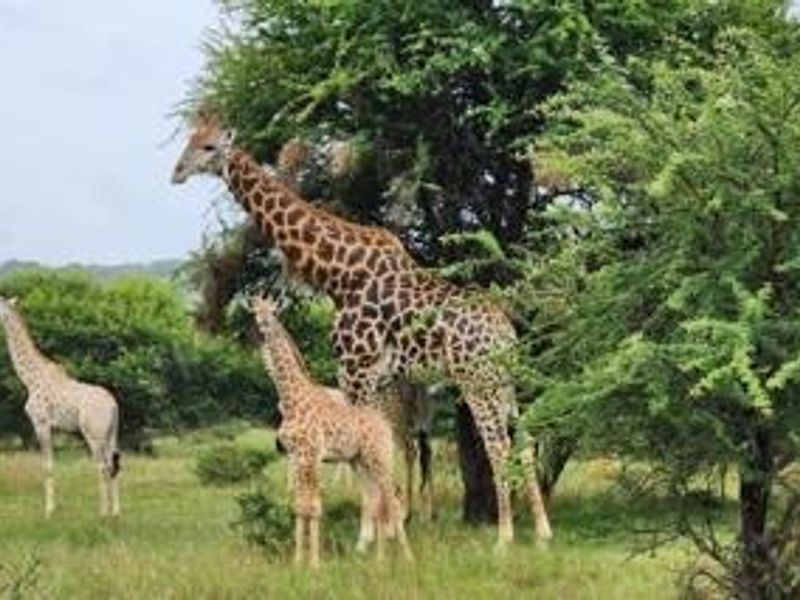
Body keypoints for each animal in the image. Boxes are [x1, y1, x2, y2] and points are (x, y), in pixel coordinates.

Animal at [0, 297, 120, 518]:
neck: (30, 379)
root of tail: (113, 405)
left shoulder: (41, 424)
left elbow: (47, 466)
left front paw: (48, 511)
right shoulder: (53, 428)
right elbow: (52, 465)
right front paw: (52, 508)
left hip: (94, 434)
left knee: (102, 466)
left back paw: (102, 513)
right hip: (112, 434)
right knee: (112, 465)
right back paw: (116, 512)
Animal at [249, 295, 412, 567]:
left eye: (272, 311)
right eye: (255, 312)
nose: (263, 325)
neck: (291, 399)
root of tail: (384, 424)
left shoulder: (313, 454)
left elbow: (314, 506)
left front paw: (315, 563)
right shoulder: (297, 455)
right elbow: (300, 506)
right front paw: (298, 562)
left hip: (379, 457)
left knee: (392, 497)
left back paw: (406, 556)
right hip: (361, 461)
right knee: (377, 499)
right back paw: (379, 558)